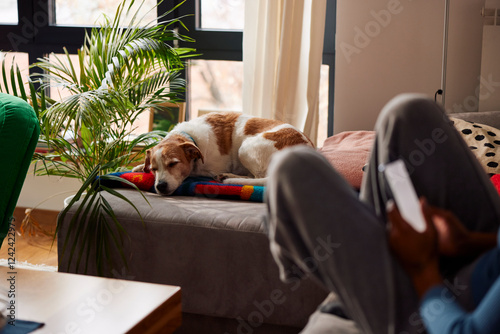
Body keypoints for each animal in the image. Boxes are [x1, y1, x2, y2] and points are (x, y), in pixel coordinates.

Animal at [133, 112, 312, 196]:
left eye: (173, 163)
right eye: (154, 169)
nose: (160, 186)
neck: (190, 137)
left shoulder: (208, 167)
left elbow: (194, 171)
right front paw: (140, 166)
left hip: (245, 148)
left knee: (258, 178)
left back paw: (228, 177)